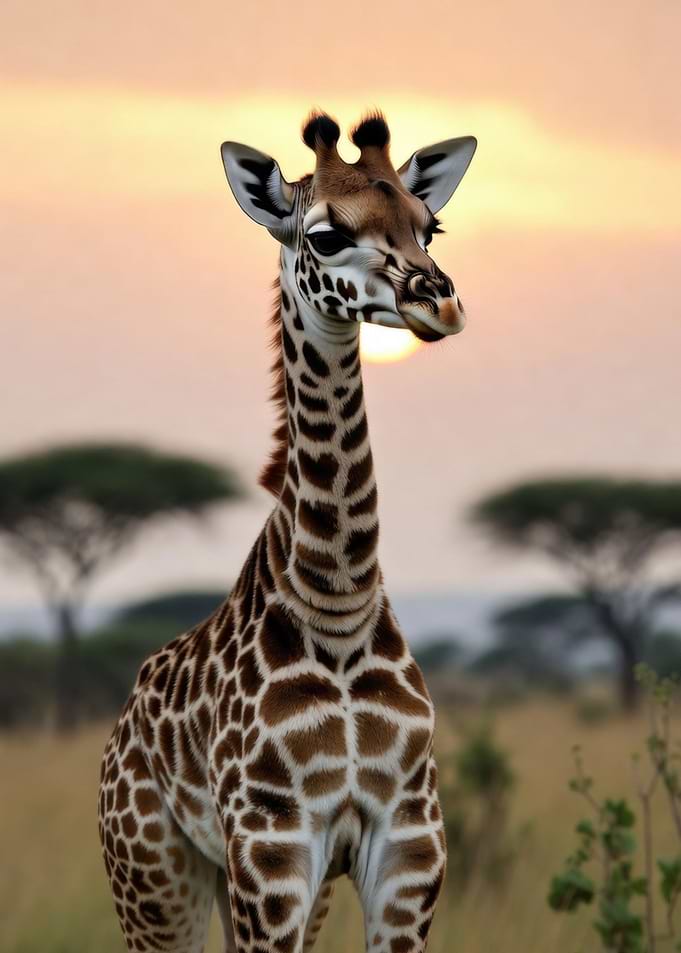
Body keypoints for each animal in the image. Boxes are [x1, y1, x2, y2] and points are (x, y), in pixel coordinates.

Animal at [98, 111, 477, 953]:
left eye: (428, 225)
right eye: (326, 236)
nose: (440, 303)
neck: (337, 599)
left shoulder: (408, 843)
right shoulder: (272, 843)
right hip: (154, 879)